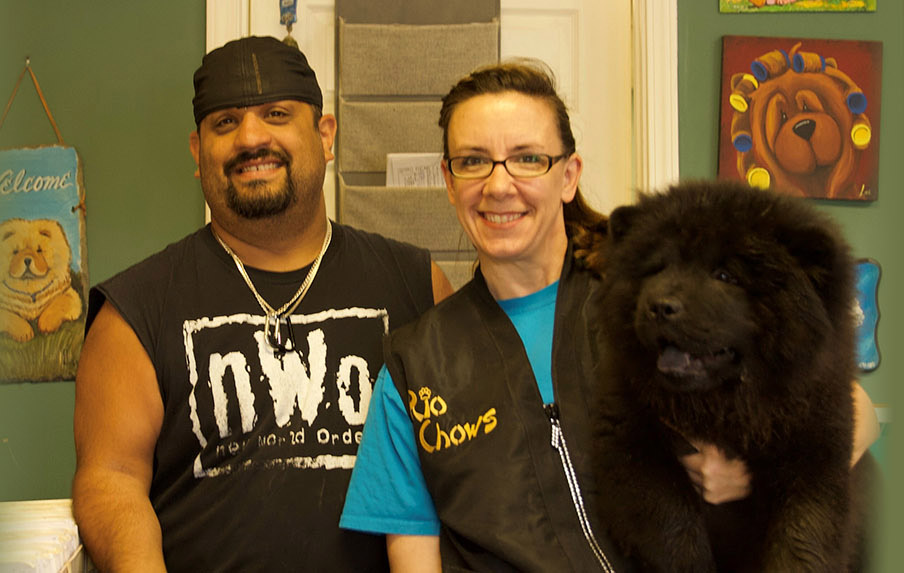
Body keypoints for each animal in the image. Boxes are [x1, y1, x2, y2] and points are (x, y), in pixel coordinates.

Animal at [588, 181, 872, 568]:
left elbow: (801, 539)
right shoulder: (632, 451)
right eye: (658, 268)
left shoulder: (817, 455)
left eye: (724, 276)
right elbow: (675, 528)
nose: (659, 307)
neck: (728, 411)